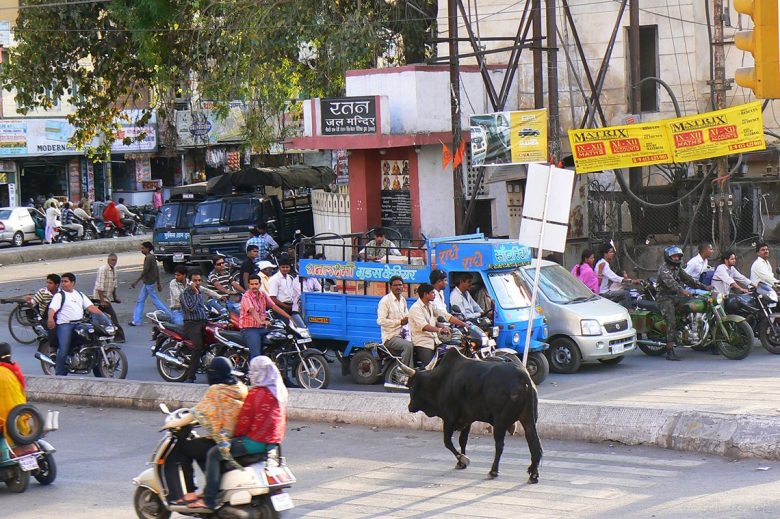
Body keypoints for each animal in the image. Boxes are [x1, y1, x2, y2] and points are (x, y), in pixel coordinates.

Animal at [396, 348, 544, 486]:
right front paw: (461, 461)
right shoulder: (467, 419)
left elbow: (447, 442)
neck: (440, 380)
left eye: (410, 385)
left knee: (500, 445)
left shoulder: (449, 418)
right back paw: (533, 475)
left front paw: (463, 459)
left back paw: (493, 471)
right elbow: (463, 441)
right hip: (529, 419)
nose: (410, 407)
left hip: (500, 421)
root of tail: (523, 375)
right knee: (535, 445)